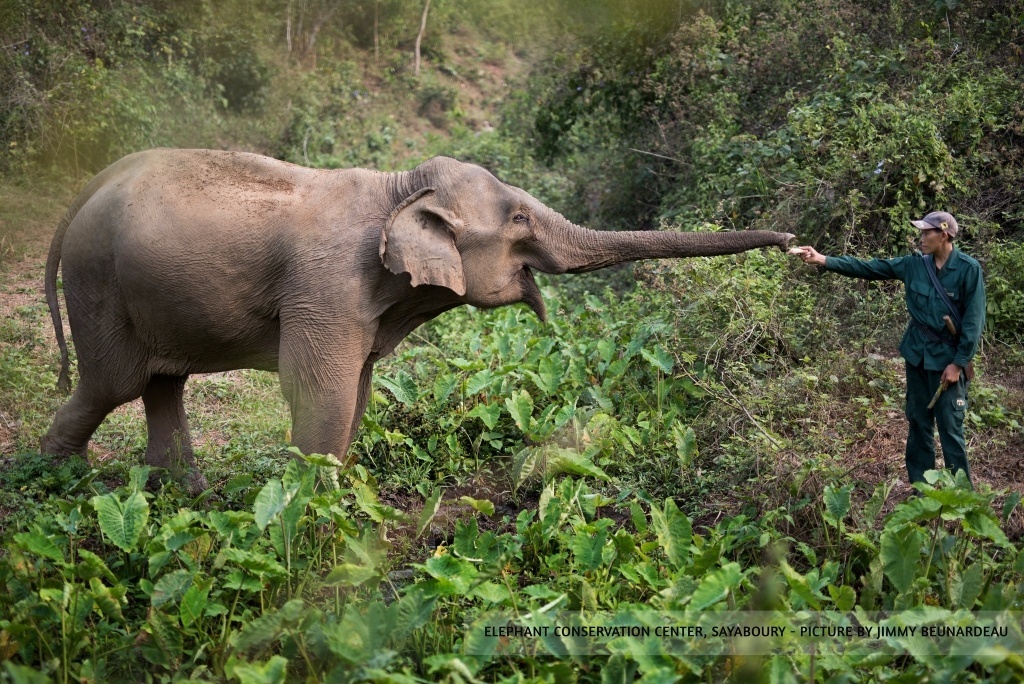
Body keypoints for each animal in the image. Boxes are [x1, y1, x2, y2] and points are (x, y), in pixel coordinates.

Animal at [39, 149, 794, 491]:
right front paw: (312, 506)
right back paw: (57, 480)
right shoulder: (327, 285)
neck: (396, 187)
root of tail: (88, 187)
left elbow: (358, 390)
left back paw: (181, 492)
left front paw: (337, 493)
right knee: (113, 384)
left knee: (160, 384)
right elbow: (319, 388)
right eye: (519, 220)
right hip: (98, 283)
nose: (796, 242)